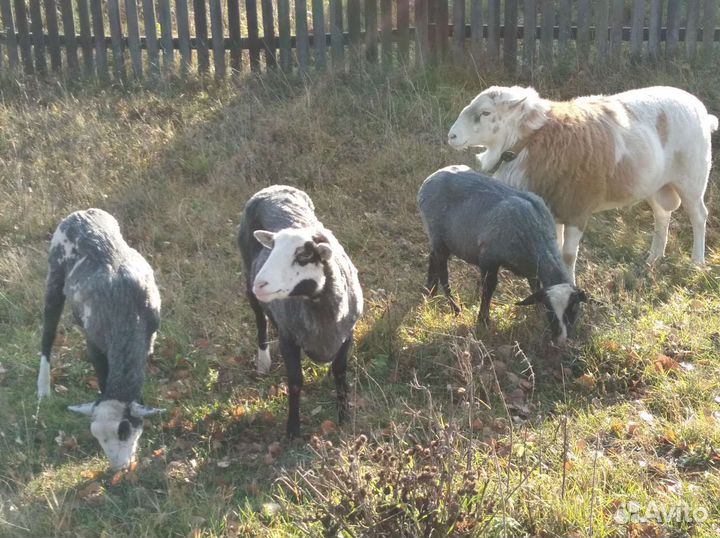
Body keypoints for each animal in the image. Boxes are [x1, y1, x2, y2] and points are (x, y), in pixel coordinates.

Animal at [38, 208, 162, 470]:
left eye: (125, 430)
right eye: (96, 436)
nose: (119, 469)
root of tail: (80, 213)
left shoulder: (150, 338)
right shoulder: (94, 344)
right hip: (54, 276)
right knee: (48, 335)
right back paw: (43, 389)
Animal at [237, 185, 363, 439]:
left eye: (303, 256)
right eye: (272, 250)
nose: (260, 284)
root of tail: (272, 188)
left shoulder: (347, 335)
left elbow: (340, 371)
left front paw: (344, 415)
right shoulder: (288, 337)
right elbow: (295, 382)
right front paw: (293, 430)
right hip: (247, 281)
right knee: (261, 322)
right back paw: (263, 361)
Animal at [417, 165, 587, 345]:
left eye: (574, 307)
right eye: (550, 309)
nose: (560, 339)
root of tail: (432, 177)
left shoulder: (532, 269)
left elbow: (535, 285)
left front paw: (536, 311)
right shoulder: (488, 257)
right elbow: (489, 288)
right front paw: (483, 321)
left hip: (442, 240)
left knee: (432, 257)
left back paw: (430, 291)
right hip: (438, 235)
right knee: (443, 272)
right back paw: (454, 307)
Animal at [448, 85, 718, 282]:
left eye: (486, 113)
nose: (451, 136)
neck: (529, 140)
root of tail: (701, 109)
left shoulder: (576, 208)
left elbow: (567, 256)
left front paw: (570, 284)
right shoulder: (552, 207)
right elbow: (555, 251)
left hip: (692, 178)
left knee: (699, 216)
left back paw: (696, 262)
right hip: (655, 183)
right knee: (662, 216)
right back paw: (654, 258)